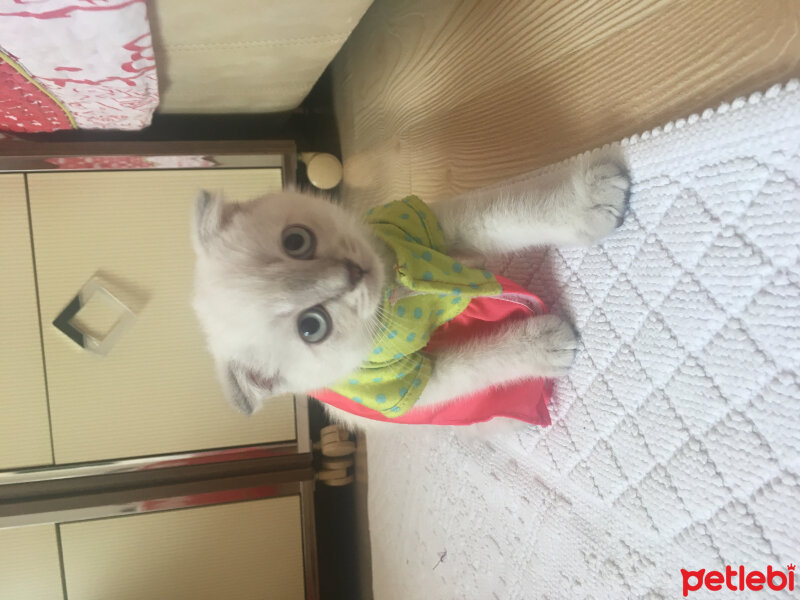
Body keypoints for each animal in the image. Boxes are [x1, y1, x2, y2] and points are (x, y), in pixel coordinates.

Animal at [192, 158, 632, 432]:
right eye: (312, 326)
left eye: (296, 241)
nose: (353, 274)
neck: (391, 287)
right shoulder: (411, 387)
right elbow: (481, 362)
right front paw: (545, 344)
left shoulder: (425, 227)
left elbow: (505, 213)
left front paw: (589, 202)